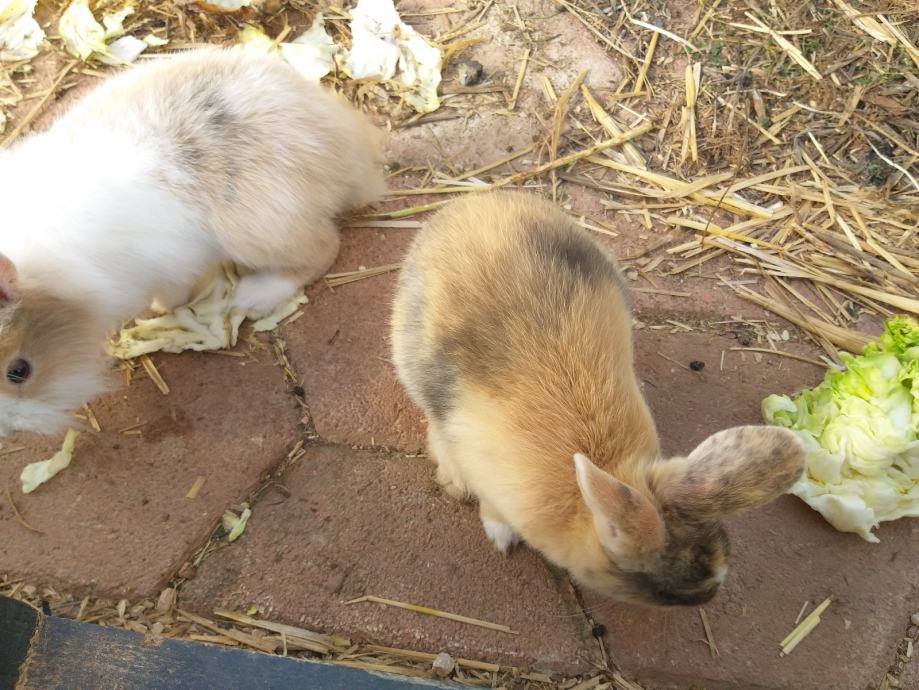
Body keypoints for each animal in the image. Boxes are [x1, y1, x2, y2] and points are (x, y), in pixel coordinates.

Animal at [0, 47, 385, 436]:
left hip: (260, 231)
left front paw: (163, 309)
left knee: (324, 249)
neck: (57, 283)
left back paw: (253, 297)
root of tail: (348, 144)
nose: (10, 429)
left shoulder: (165, 267)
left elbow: (174, 292)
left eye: (19, 370)